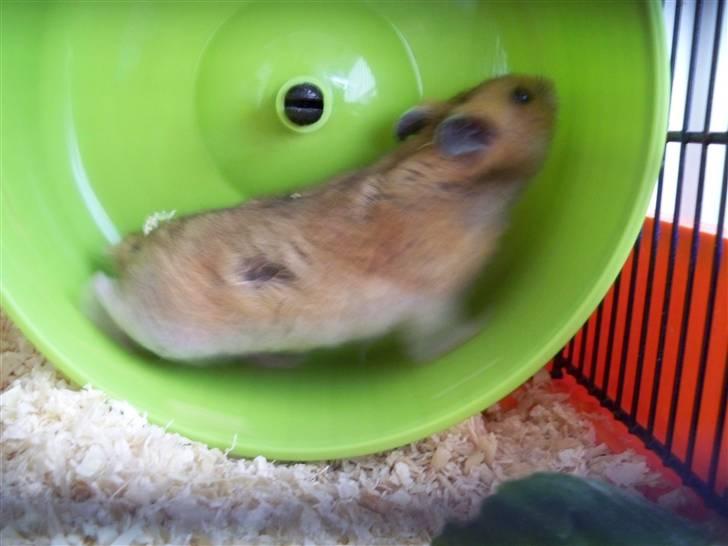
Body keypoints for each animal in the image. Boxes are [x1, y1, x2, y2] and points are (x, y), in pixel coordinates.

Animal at [92, 74, 557, 364]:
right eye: (522, 96)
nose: (550, 82)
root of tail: (135, 249)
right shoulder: (436, 303)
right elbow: (436, 342)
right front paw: (485, 320)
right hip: (163, 329)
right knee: (103, 292)